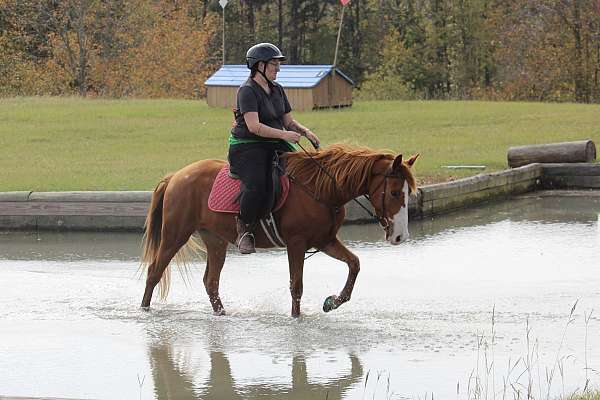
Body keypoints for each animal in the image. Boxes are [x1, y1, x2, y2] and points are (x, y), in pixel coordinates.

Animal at [140, 144, 418, 316]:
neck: (322, 189)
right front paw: (297, 319)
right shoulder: (296, 243)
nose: (400, 236)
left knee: (211, 282)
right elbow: (296, 286)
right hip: (175, 235)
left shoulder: (325, 240)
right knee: (154, 272)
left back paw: (222, 314)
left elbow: (354, 264)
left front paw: (333, 302)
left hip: (216, 240)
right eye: (395, 193)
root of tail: (176, 176)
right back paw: (144, 310)